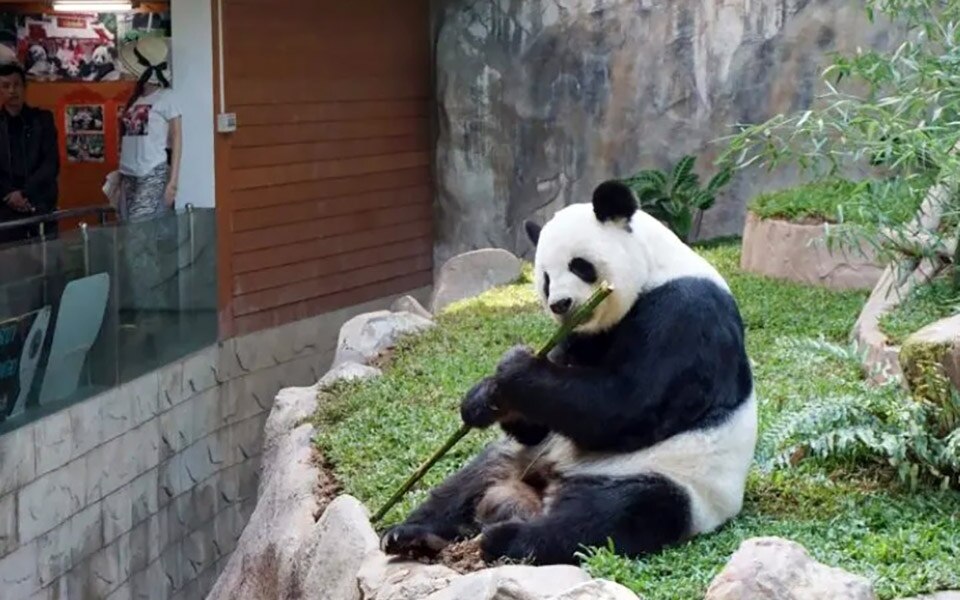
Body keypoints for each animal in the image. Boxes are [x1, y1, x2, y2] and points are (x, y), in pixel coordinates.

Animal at [380, 180, 756, 564]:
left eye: (580, 266)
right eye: (545, 278)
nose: (560, 304)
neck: (656, 269)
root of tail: (551, 483)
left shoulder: (686, 314)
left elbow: (628, 407)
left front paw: (514, 368)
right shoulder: (579, 335)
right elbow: (545, 416)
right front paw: (483, 399)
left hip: (672, 479)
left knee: (613, 513)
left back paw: (505, 538)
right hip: (528, 455)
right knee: (474, 477)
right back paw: (411, 534)